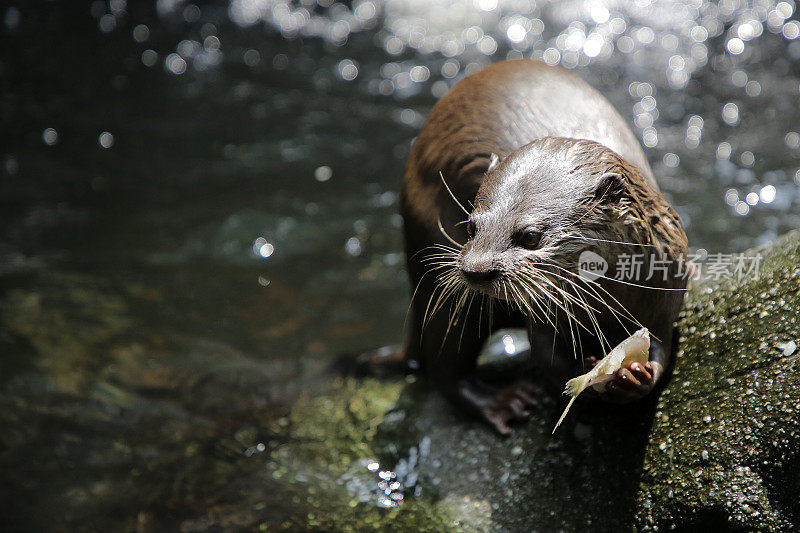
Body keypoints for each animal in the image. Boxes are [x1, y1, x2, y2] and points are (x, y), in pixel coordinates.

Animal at [400, 59, 688, 432]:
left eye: (531, 236)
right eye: (471, 227)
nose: (476, 270)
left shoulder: (666, 291)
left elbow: (661, 348)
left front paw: (636, 373)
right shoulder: (543, 314)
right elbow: (546, 356)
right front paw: (588, 372)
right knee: (445, 365)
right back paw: (502, 402)